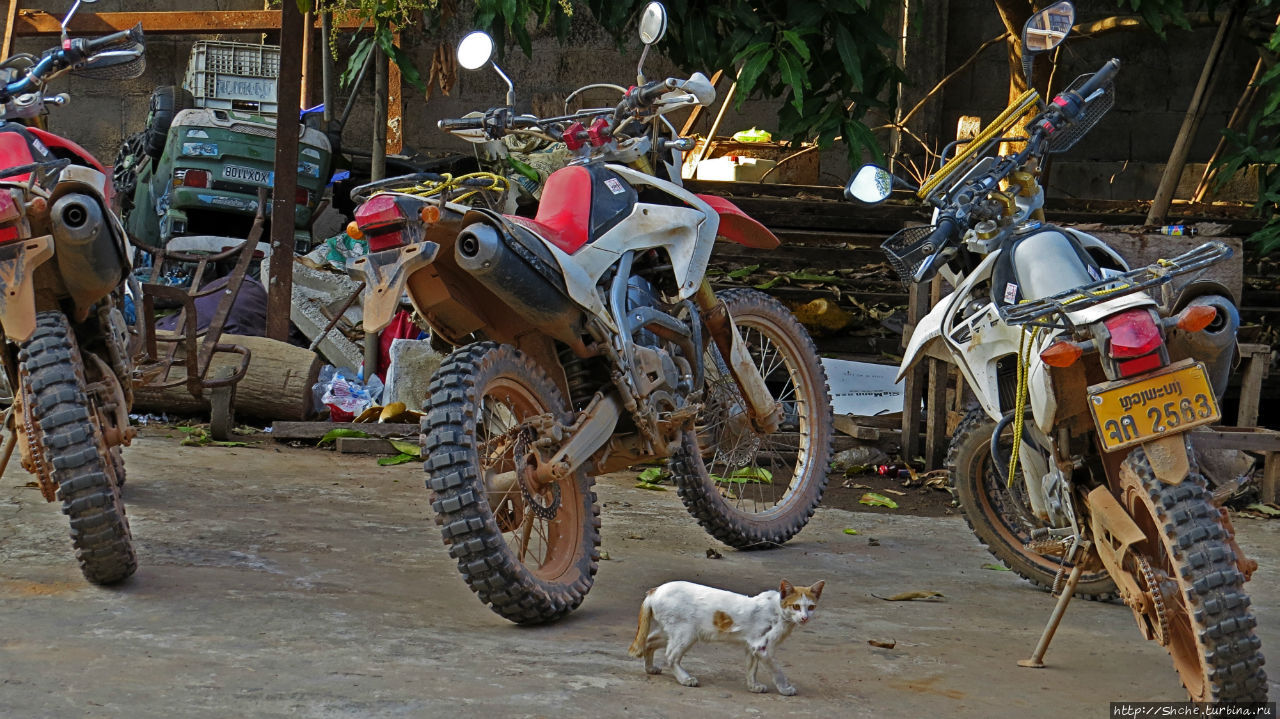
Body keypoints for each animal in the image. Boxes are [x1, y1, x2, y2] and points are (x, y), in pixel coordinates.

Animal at [624, 575, 824, 695]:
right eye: (796, 606)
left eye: (811, 607)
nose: (805, 617)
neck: (779, 613)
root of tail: (655, 590)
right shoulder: (763, 647)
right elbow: (777, 669)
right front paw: (785, 688)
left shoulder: (752, 647)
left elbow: (751, 668)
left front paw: (753, 686)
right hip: (685, 633)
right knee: (670, 656)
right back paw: (685, 679)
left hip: (670, 632)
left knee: (648, 641)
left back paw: (650, 668)